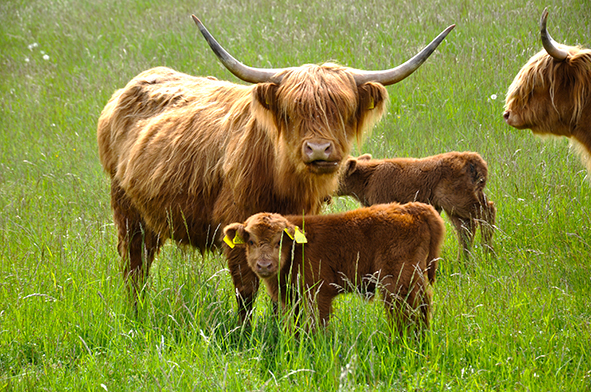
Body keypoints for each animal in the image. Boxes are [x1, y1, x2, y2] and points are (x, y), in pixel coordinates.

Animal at [222, 202, 444, 334]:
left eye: (279, 241)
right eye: (251, 241)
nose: (264, 265)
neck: (299, 249)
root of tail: (410, 208)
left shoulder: (319, 294)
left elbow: (317, 324)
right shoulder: (290, 298)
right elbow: (293, 324)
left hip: (397, 282)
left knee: (406, 311)